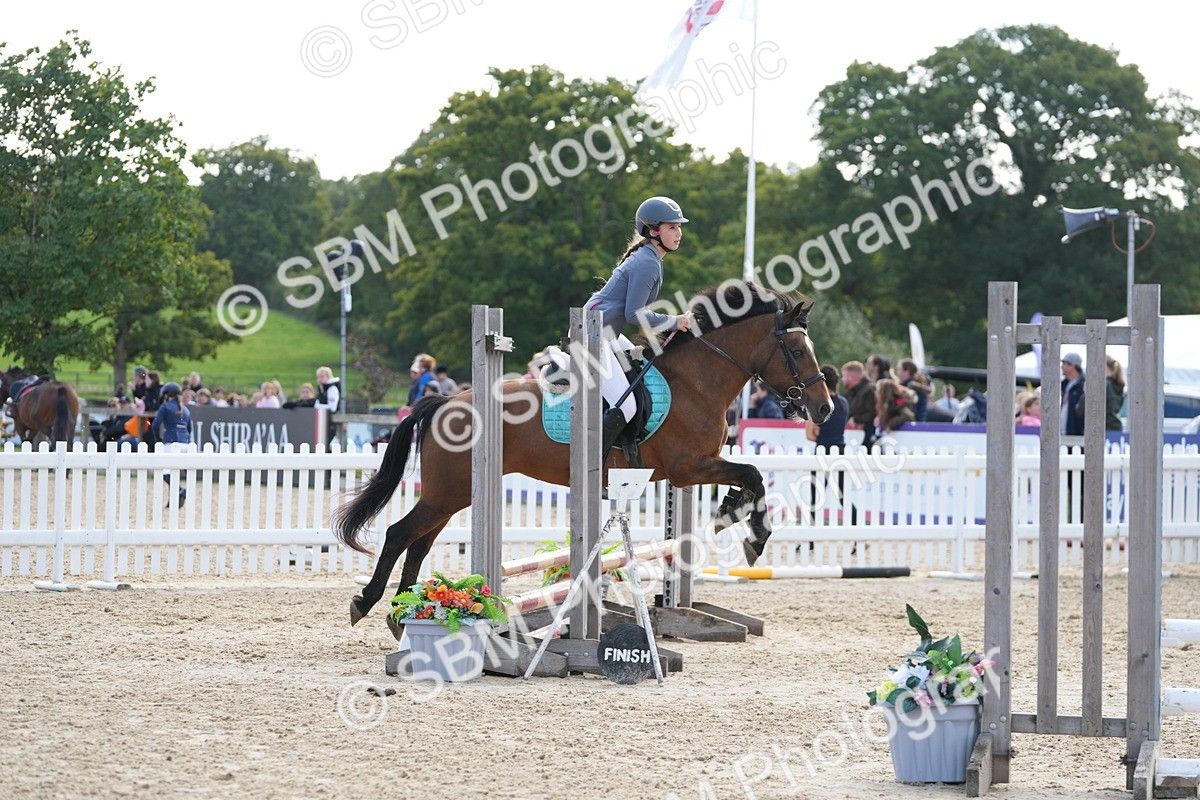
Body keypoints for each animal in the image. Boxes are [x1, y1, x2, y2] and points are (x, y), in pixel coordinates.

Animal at [334, 282, 834, 628]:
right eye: (795, 349)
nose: (824, 409)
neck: (697, 381)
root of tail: (446, 400)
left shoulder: (694, 469)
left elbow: (749, 476)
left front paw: (734, 513)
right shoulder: (687, 468)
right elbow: (752, 473)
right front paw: (753, 536)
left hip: (454, 494)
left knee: (419, 542)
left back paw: (402, 614)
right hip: (449, 492)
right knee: (400, 534)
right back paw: (370, 603)